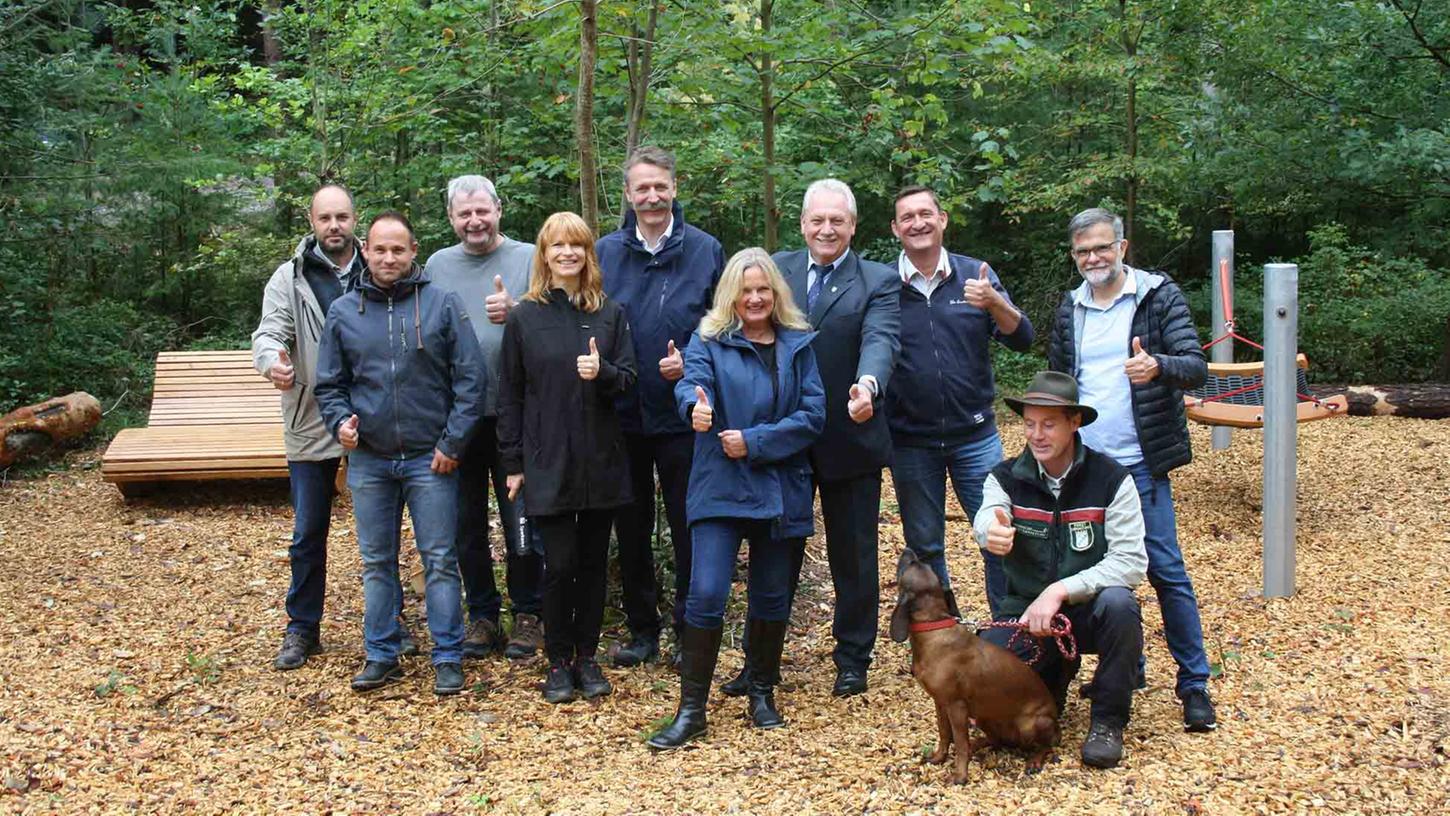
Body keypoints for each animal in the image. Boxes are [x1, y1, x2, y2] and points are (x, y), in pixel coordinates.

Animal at [881, 544, 1055, 782]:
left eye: (912, 564)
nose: (908, 549)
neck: (933, 628)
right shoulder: (940, 703)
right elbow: (944, 734)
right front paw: (939, 757)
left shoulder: (957, 706)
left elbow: (960, 743)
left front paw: (960, 775)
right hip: (983, 717)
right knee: (997, 740)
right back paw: (979, 743)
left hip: (1030, 724)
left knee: (1046, 746)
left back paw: (1035, 760)